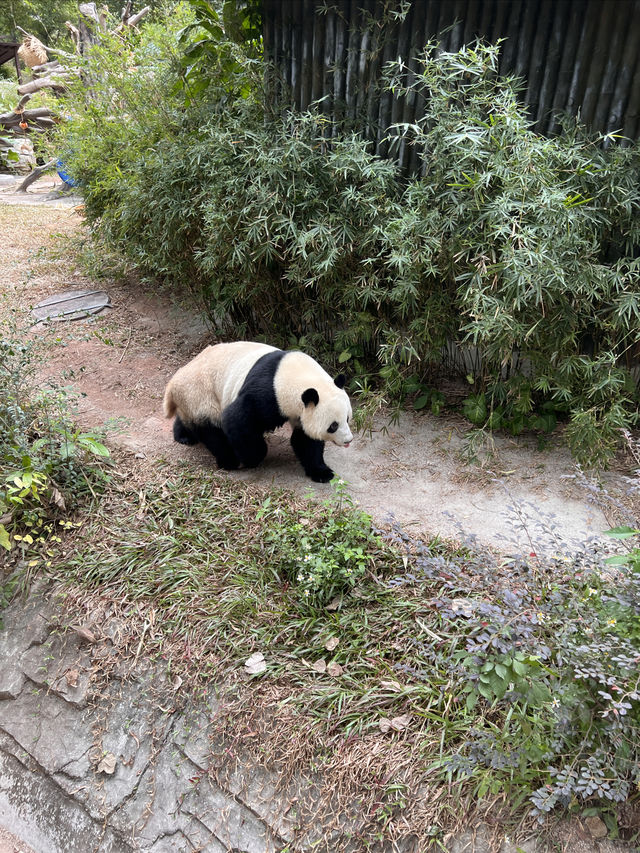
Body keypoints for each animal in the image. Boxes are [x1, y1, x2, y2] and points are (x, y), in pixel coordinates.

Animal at [162, 342, 352, 482]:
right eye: (333, 426)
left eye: (348, 419)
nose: (348, 441)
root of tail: (173, 384)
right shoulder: (268, 393)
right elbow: (238, 419)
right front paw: (252, 457)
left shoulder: (299, 409)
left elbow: (306, 439)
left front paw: (322, 472)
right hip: (200, 392)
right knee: (210, 427)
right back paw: (229, 460)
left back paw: (184, 436)